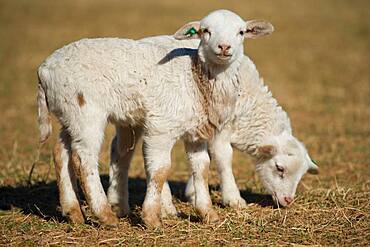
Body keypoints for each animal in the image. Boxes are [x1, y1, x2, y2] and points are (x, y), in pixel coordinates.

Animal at [37, 10, 274, 228]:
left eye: (241, 32)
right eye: (205, 31)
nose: (224, 47)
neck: (195, 78)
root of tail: (44, 70)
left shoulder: (196, 131)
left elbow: (202, 168)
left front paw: (208, 214)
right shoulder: (161, 128)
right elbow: (160, 170)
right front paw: (151, 217)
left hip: (69, 114)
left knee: (61, 153)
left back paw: (73, 212)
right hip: (86, 112)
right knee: (84, 159)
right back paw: (105, 215)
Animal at [107, 35, 318, 218]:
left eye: (302, 175)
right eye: (279, 168)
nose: (288, 200)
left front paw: (193, 192)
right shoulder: (220, 127)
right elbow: (223, 156)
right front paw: (233, 199)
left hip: (132, 120)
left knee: (120, 150)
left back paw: (116, 201)